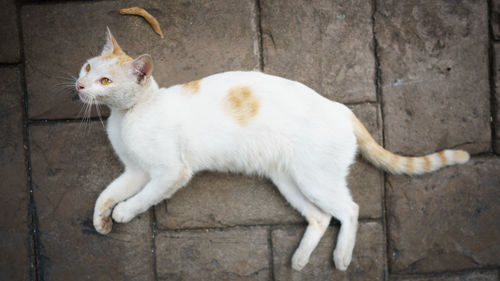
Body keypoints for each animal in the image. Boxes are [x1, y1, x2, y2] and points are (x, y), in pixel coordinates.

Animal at [76, 29, 470, 272]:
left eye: (105, 80)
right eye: (87, 66)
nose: (79, 85)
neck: (129, 114)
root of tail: (343, 108)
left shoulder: (171, 172)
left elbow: (141, 198)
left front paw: (123, 213)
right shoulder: (135, 171)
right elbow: (105, 193)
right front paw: (101, 220)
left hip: (314, 178)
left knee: (350, 209)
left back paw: (342, 256)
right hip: (288, 179)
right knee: (320, 217)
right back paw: (299, 259)